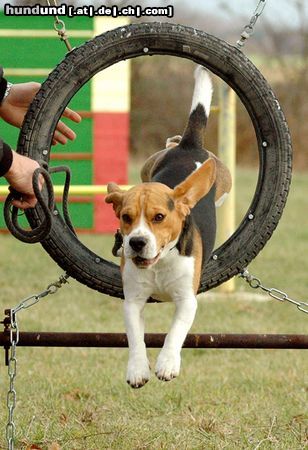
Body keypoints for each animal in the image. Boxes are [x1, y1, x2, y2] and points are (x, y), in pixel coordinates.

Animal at [105, 65, 231, 388]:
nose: (136, 242)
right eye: (126, 217)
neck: (160, 262)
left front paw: (167, 364)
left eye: (159, 217)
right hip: (148, 165)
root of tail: (188, 146)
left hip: (223, 181)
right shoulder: (133, 300)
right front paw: (137, 369)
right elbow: (135, 337)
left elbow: (176, 331)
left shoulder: (187, 300)